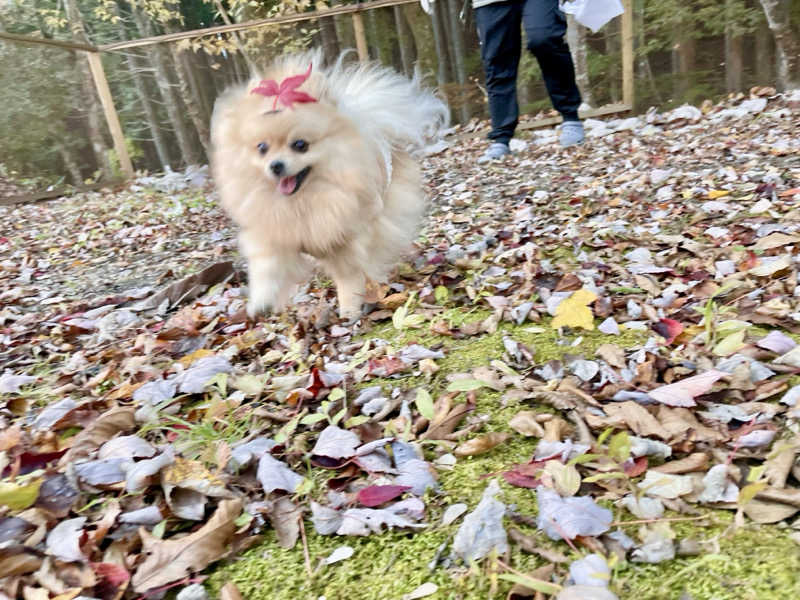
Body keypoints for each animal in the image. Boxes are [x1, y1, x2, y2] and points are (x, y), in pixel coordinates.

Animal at [210, 52, 448, 319]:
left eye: (300, 145)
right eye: (262, 147)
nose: (276, 165)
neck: (302, 201)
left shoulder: (345, 241)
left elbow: (348, 276)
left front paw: (349, 308)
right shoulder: (274, 235)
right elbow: (267, 269)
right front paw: (262, 302)